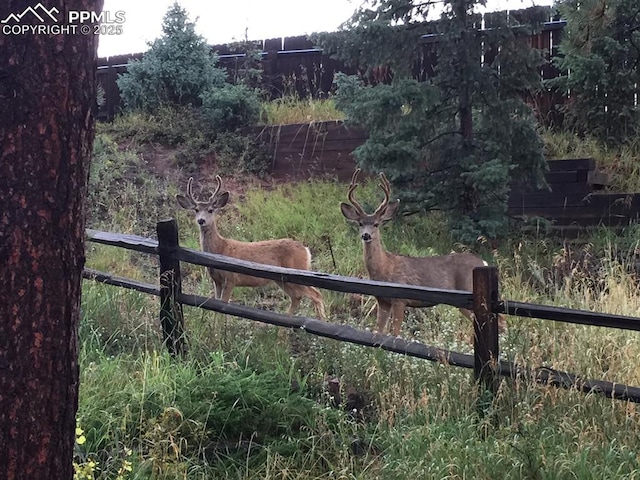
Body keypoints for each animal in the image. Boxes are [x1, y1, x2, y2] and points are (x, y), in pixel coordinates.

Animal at [176, 176, 324, 318]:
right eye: (196, 210)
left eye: (210, 210)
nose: (201, 220)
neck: (220, 248)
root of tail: (306, 250)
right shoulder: (216, 281)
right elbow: (216, 308)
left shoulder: (230, 279)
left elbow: (223, 309)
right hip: (282, 279)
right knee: (297, 297)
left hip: (298, 271)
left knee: (316, 295)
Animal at [340, 170, 496, 338]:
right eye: (360, 223)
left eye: (376, 224)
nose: (366, 235)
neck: (384, 268)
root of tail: (483, 262)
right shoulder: (382, 301)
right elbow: (378, 332)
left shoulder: (400, 299)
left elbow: (395, 334)